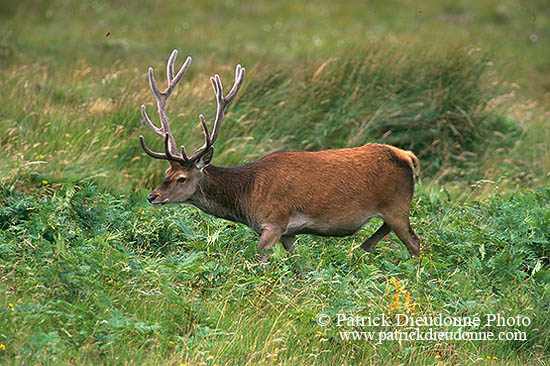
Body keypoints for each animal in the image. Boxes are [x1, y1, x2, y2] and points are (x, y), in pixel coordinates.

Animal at [138, 50, 422, 264]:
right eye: (166, 172)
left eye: (182, 178)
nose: (152, 196)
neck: (246, 195)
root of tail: (407, 156)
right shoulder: (288, 232)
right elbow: (299, 266)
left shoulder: (274, 222)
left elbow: (257, 262)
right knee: (384, 235)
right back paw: (361, 250)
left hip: (397, 205)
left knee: (415, 242)